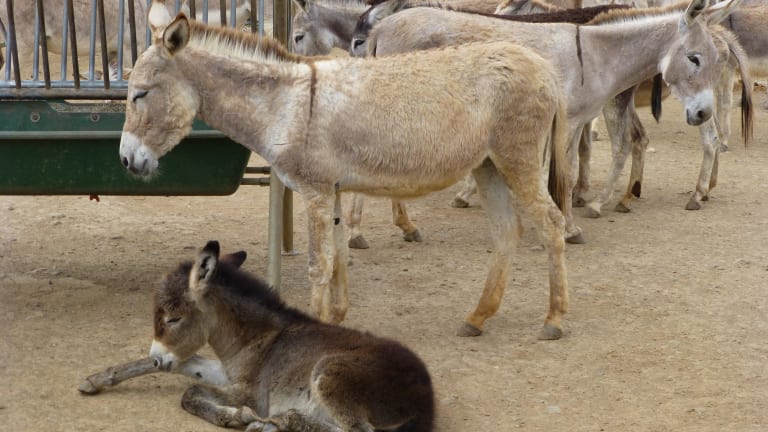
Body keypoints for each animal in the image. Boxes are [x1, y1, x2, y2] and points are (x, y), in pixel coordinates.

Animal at [120, 3, 572, 339]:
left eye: (140, 94)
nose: (126, 160)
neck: (285, 105)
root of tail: (544, 66)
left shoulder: (316, 191)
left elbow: (319, 264)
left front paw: (318, 323)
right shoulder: (334, 191)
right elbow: (337, 256)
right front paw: (336, 317)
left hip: (518, 158)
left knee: (551, 223)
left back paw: (553, 319)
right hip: (488, 165)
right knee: (507, 231)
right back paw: (477, 317)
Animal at [147, 240, 435, 431]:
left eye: (173, 319)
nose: (155, 360)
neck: (254, 340)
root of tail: (424, 396)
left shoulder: (252, 395)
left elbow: (190, 393)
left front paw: (236, 416)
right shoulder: (228, 375)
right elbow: (195, 373)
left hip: (329, 372)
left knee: (358, 431)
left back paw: (285, 420)